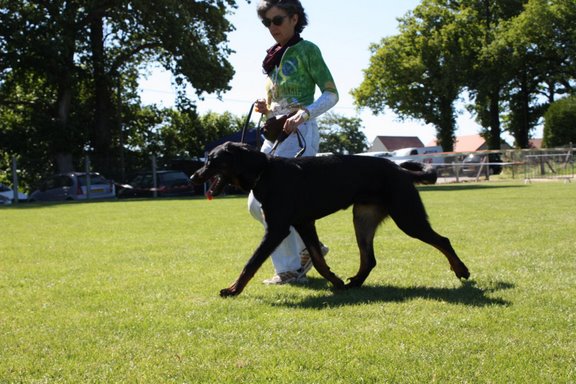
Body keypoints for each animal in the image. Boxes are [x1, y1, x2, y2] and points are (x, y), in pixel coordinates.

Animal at [191, 142, 470, 296]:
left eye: (212, 160)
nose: (194, 176)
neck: (264, 172)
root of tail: (400, 169)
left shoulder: (277, 229)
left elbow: (251, 263)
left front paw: (232, 290)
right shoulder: (304, 224)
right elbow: (318, 259)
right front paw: (335, 281)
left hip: (407, 217)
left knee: (443, 240)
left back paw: (461, 270)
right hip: (363, 218)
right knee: (369, 259)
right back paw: (355, 282)